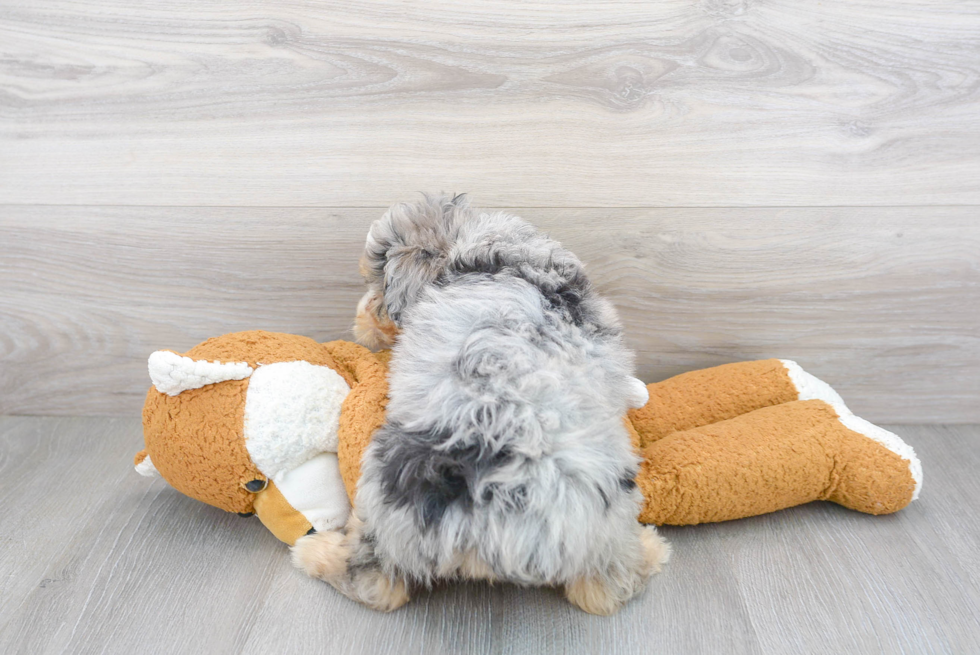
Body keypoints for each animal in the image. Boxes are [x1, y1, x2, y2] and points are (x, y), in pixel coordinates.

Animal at [290, 193, 668, 616]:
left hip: (385, 498)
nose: (359, 319)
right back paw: (650, 549)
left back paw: (313, 552)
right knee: (604, 591)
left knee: (376, 583)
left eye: (379, 285)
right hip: (607, 517)